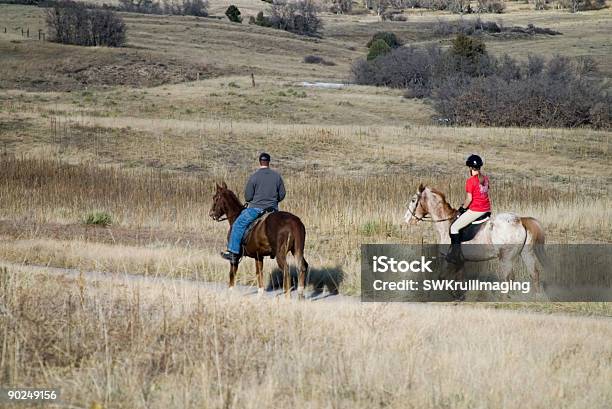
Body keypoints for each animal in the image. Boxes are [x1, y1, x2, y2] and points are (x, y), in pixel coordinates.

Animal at [406, 183, 544, 288]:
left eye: (413, 200)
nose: (406, 219)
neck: (446, 223)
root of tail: (520, 220)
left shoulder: (448, 259)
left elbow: (442, 278)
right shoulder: (460, 262)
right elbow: (458, 281)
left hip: (506, 257)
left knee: (509, 278)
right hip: (526, 253)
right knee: (534, 275)